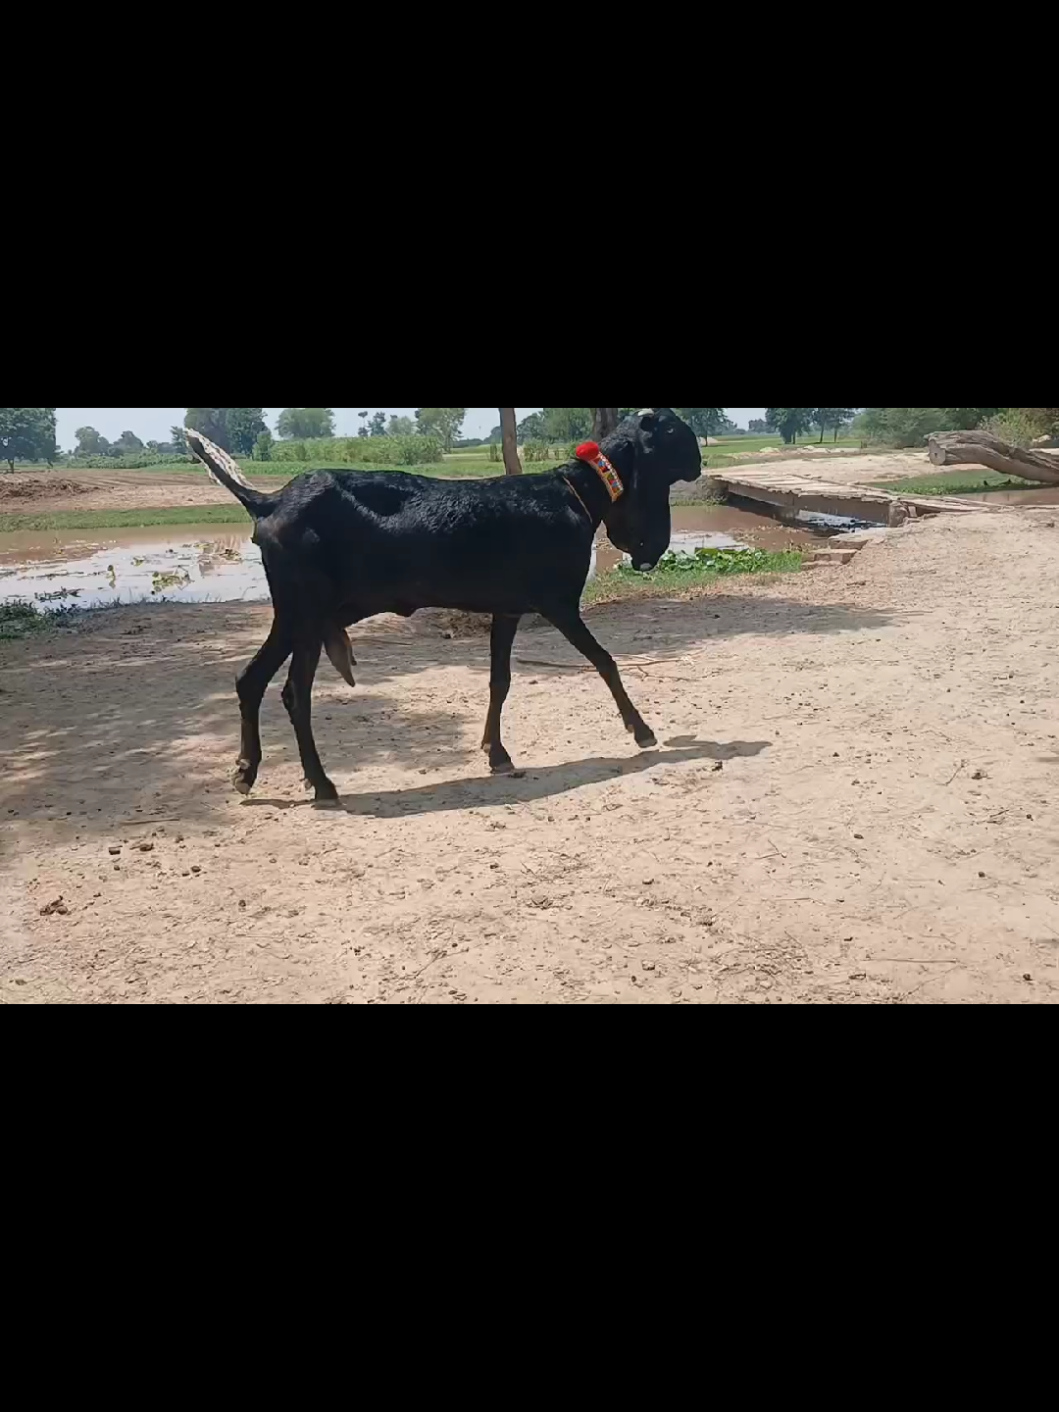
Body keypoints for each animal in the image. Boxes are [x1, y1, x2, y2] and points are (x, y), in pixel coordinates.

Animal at [187, 409, 702, 802]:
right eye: (677, 432)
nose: (699, 464)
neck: (576, 494)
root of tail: (268, 502)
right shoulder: (558, 603)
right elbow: (604, 660)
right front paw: (641, 730)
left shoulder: (508, 608)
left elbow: (500, 680)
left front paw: (496, 752)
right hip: (304, 610)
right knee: (280, 687)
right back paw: (313, 782)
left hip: (302, 618)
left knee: (267, 684)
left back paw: (262, 774)